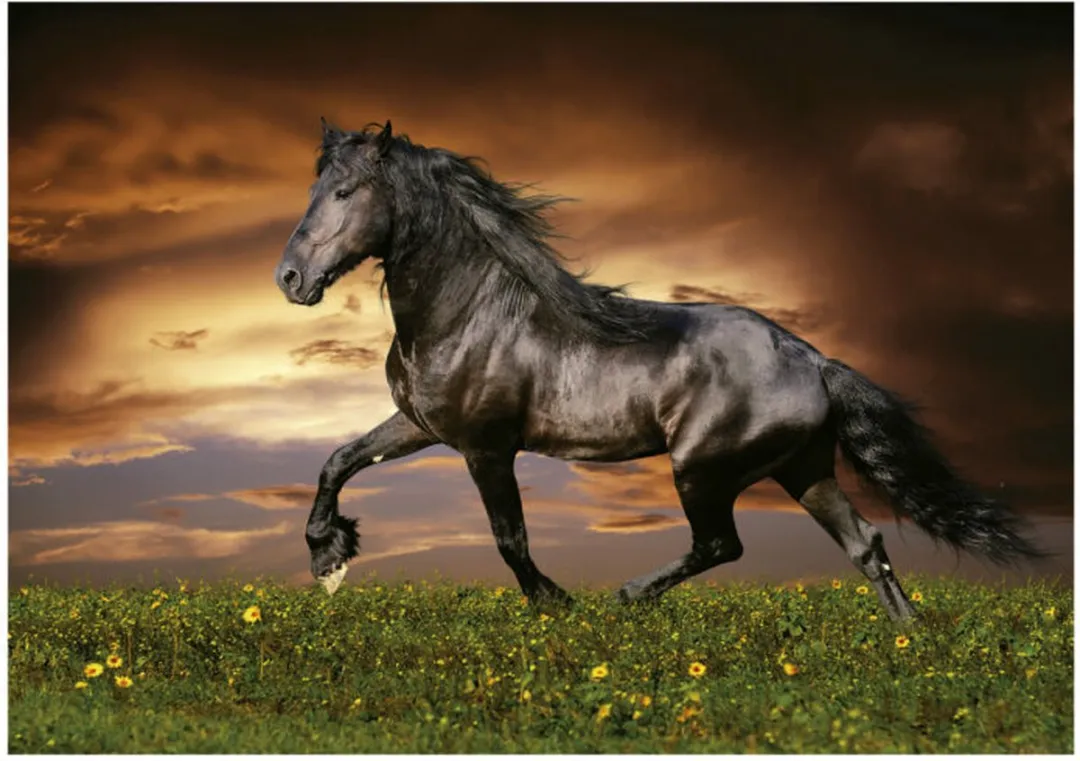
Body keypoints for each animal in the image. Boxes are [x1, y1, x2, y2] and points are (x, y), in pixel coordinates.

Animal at [273, 119, 1044, 622]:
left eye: (345, 193)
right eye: (315, 190)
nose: (289, 278)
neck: (469, 311)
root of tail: (814, 360)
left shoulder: (485, 446)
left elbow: (509, 538)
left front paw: (557, 604)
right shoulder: (421, 424)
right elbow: (338, 461)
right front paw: (328, 557)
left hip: (702, 468)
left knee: (722, 543)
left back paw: (627, 596)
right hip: (803, 468)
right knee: (866, 543)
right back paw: (909, 640)